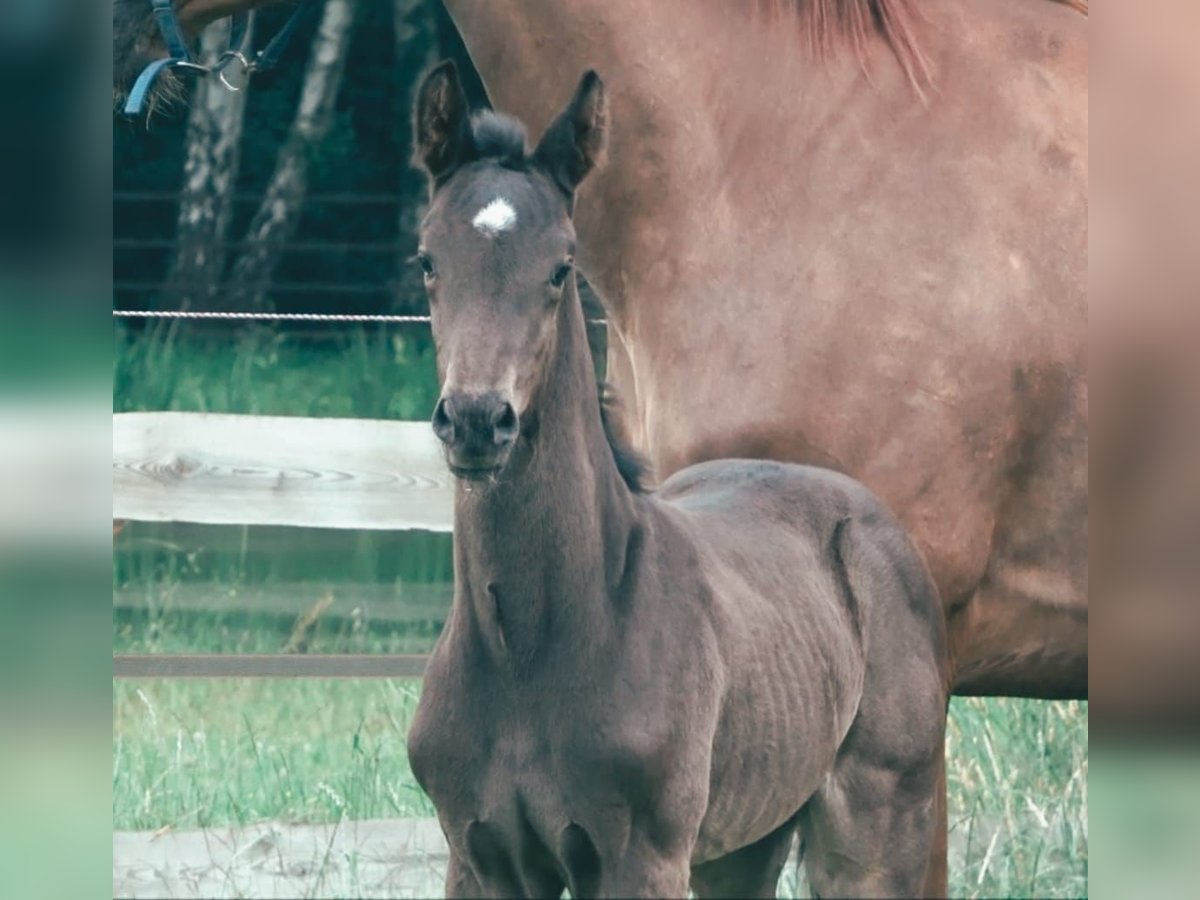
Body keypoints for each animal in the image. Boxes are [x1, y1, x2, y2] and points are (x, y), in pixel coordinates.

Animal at [408, 60, 950, 897]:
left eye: (561, 266)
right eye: (429, 259)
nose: (475, 420)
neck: (527, 649)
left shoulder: (644, 857)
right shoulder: (479, 857)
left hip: (876, 826)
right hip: (741, 844)